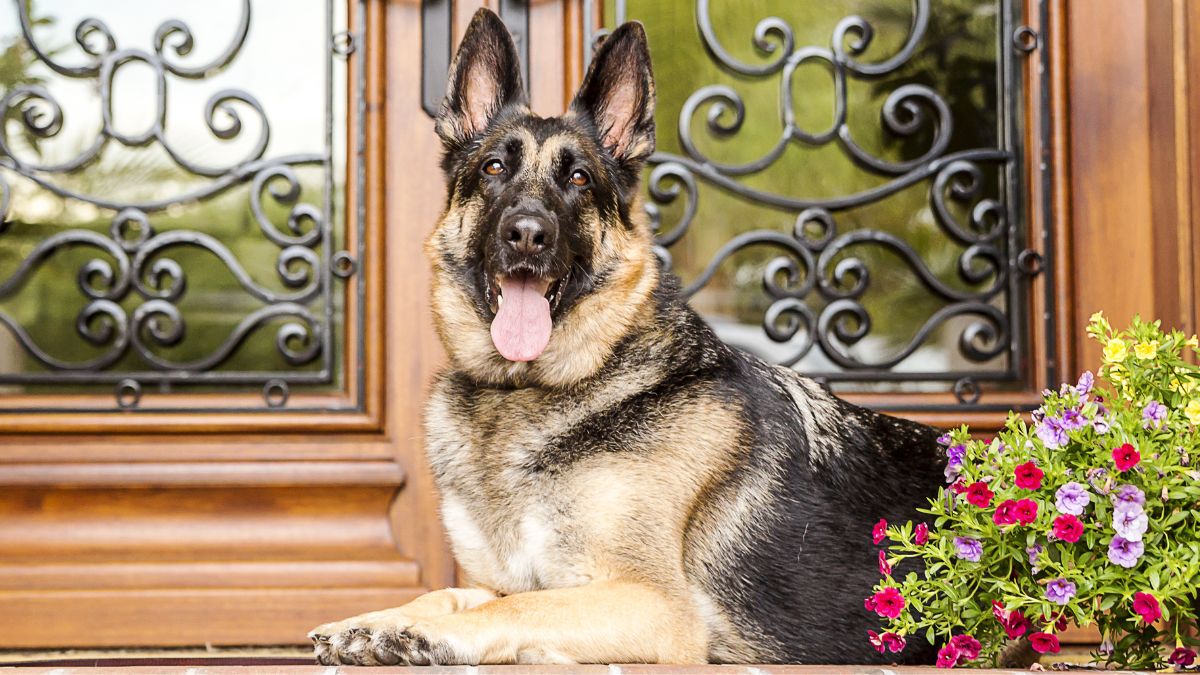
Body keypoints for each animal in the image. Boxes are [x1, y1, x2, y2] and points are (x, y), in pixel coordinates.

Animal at [309, 7, 945, 662]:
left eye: (579, 178)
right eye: (493, 168)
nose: (528, 234)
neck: (523, 391)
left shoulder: (653, 604)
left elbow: (519, 606)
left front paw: (421, 633)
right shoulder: (502, 580)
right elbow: (452, 593)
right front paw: (378, 618)